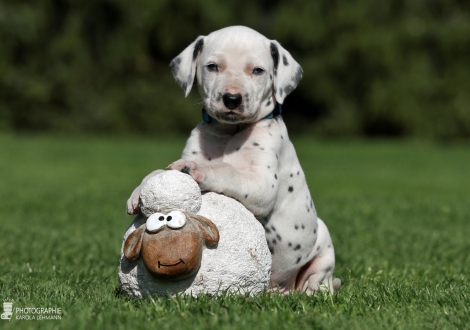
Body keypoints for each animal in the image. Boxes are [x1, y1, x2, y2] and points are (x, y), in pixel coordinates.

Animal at [127, 25, 342, 294]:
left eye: (258, 70)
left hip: (323, 250)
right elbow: (160, 174)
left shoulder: (262, 184)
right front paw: (141, 190)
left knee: (317, 283)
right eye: (212, 67)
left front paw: (195, 169)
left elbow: (226, 170)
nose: (232, 99)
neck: (230, 132)